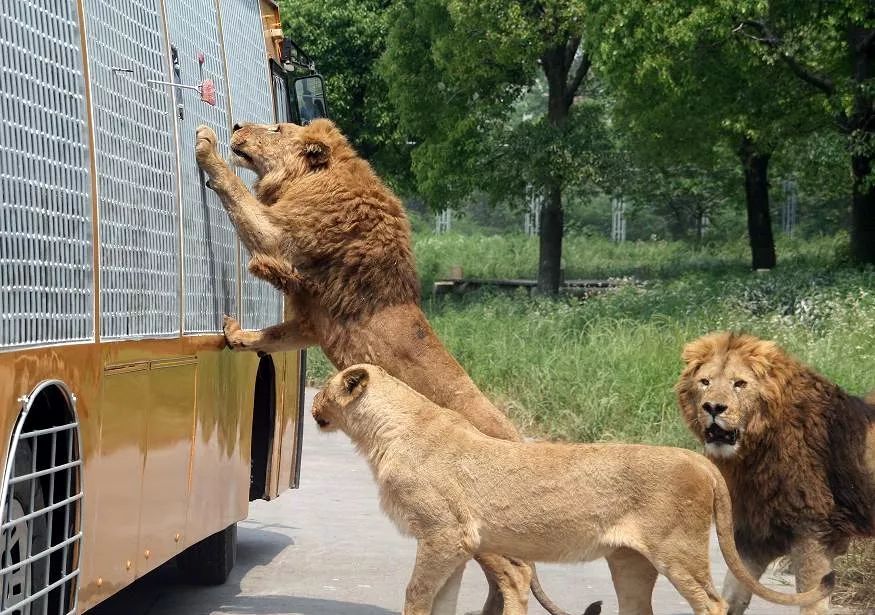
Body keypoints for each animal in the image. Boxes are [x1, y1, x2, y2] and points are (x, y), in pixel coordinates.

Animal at [192, 120, 572, 615]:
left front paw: (206, 145)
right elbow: (270, 336)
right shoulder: (309, 321)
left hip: (469, 522)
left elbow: (238, 196)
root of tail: (518, 440)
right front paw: (236, 335)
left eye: (275, 127)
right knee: (502, 576)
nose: (236, 125)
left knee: (515, 576)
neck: (316, 181)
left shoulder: (282, 237)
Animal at [314, 364, 836, 615]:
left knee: (712, 603)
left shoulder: (444, 536)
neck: (382, 432)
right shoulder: (454, 546)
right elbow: (441, 601)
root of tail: (698, 460)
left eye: (320, 390)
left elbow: (417, 594)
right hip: (630, 562)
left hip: (679, 551)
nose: (315, 403)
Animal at [676, 332, 875, 615]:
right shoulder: (754, 536)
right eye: (705, 382)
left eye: (740, 384)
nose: (713, 407)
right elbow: (732, 596)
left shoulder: (814, 532)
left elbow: (812, 604)